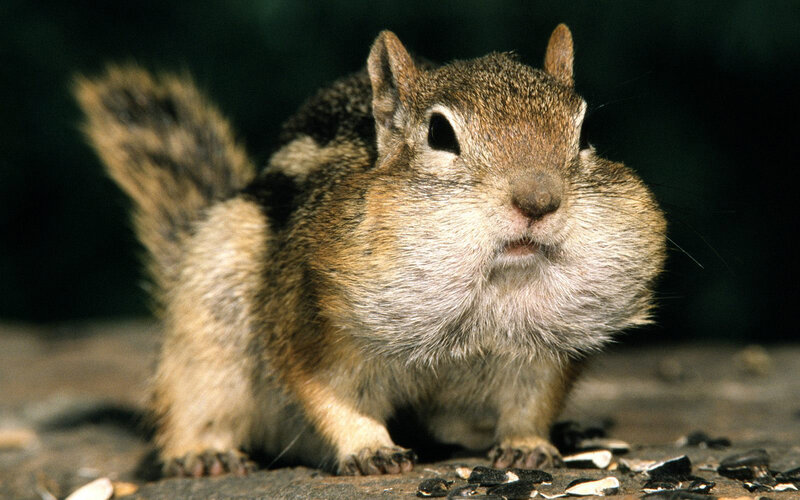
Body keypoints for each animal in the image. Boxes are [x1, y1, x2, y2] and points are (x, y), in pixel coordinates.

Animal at [75, 24, 666, 477]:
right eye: (440, 134)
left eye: (584, 133)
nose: (538, 201)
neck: (492, 284)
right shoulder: (310, 326)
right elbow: (330, 393)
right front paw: (369, 448)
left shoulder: (543, 351)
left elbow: (531, 399)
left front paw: (529, 444)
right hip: (207, 323)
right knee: (192, 401)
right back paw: (202, 454)